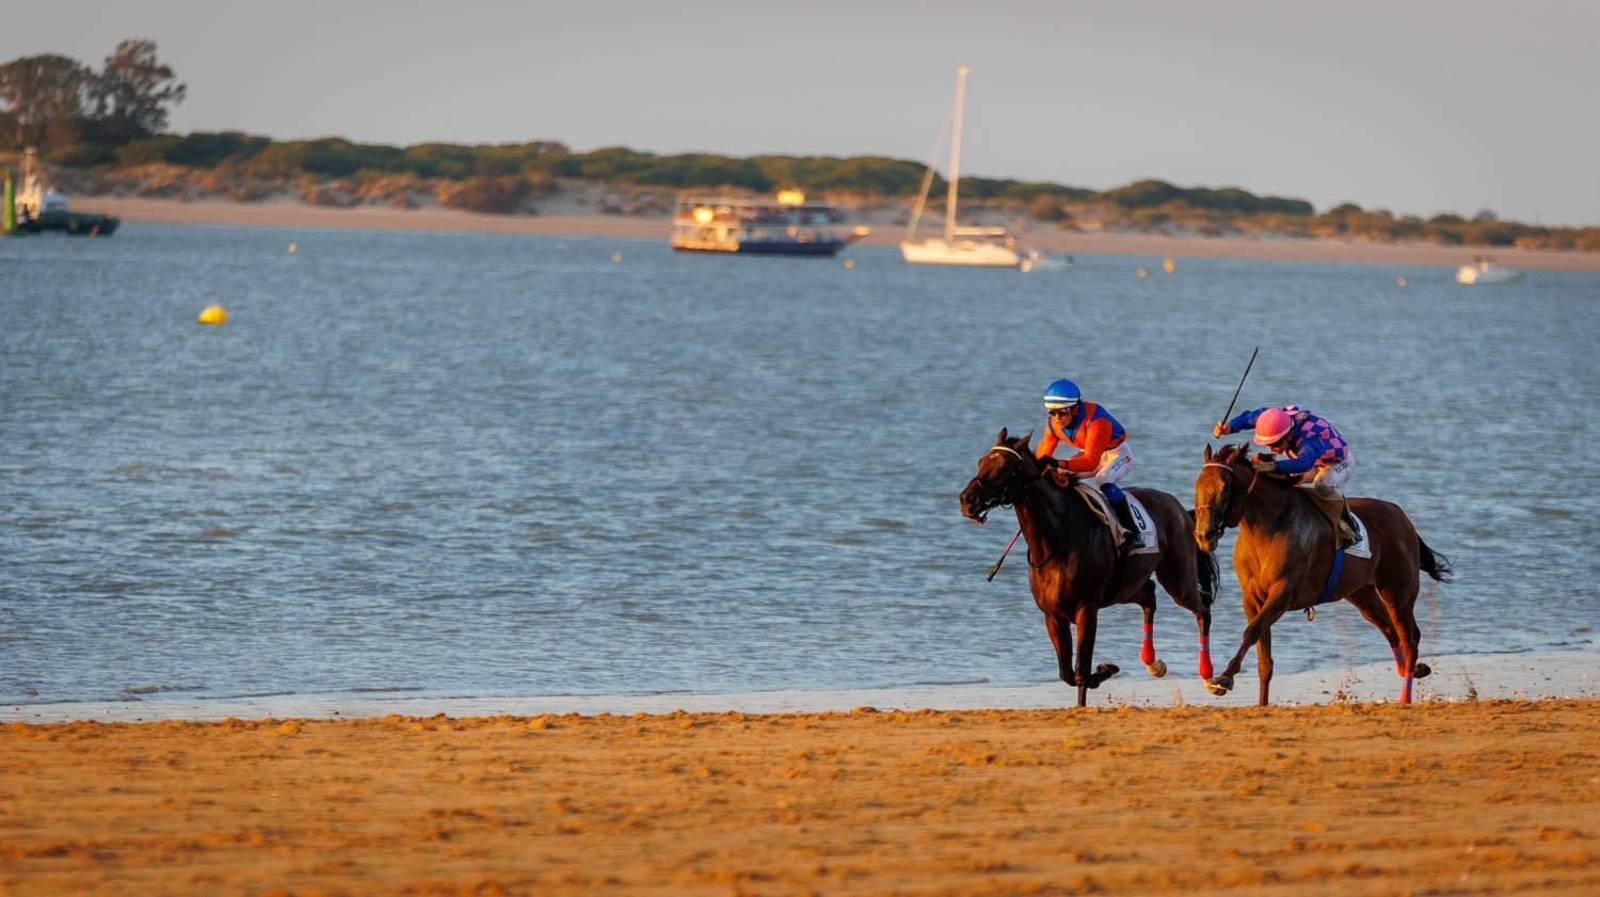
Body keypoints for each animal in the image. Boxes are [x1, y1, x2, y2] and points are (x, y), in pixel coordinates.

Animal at [959, 429, 1219, 707]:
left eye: (1005, 466)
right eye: (981, 461)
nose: (967, 500)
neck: (1057, 537)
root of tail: (1179, 507)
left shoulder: (1087, 607)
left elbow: (1081, 668)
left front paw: (1097, 679)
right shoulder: (1053, 614)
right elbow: (1066, 671)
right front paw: (1104, 670)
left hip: (1177, 579)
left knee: (1202, 612)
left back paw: (1211, 679)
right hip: (1126, 587)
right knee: (1149, 596)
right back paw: (1154, 664)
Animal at [1193, 443, 1453, 705]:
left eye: (1225, 487)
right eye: (1197, 486)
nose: (1204, 535)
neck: (1268, 528)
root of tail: (1402, 517)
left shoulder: (1283, 592)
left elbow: (1251, 631)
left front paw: (1223, 679)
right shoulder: (1252, 598)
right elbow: (1264, 660)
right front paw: (1260, 704)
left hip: (1398, 593)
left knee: (1409, 639)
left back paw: (1405, 697)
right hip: (1362, 594)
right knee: (1390, 631)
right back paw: (1414, 670)